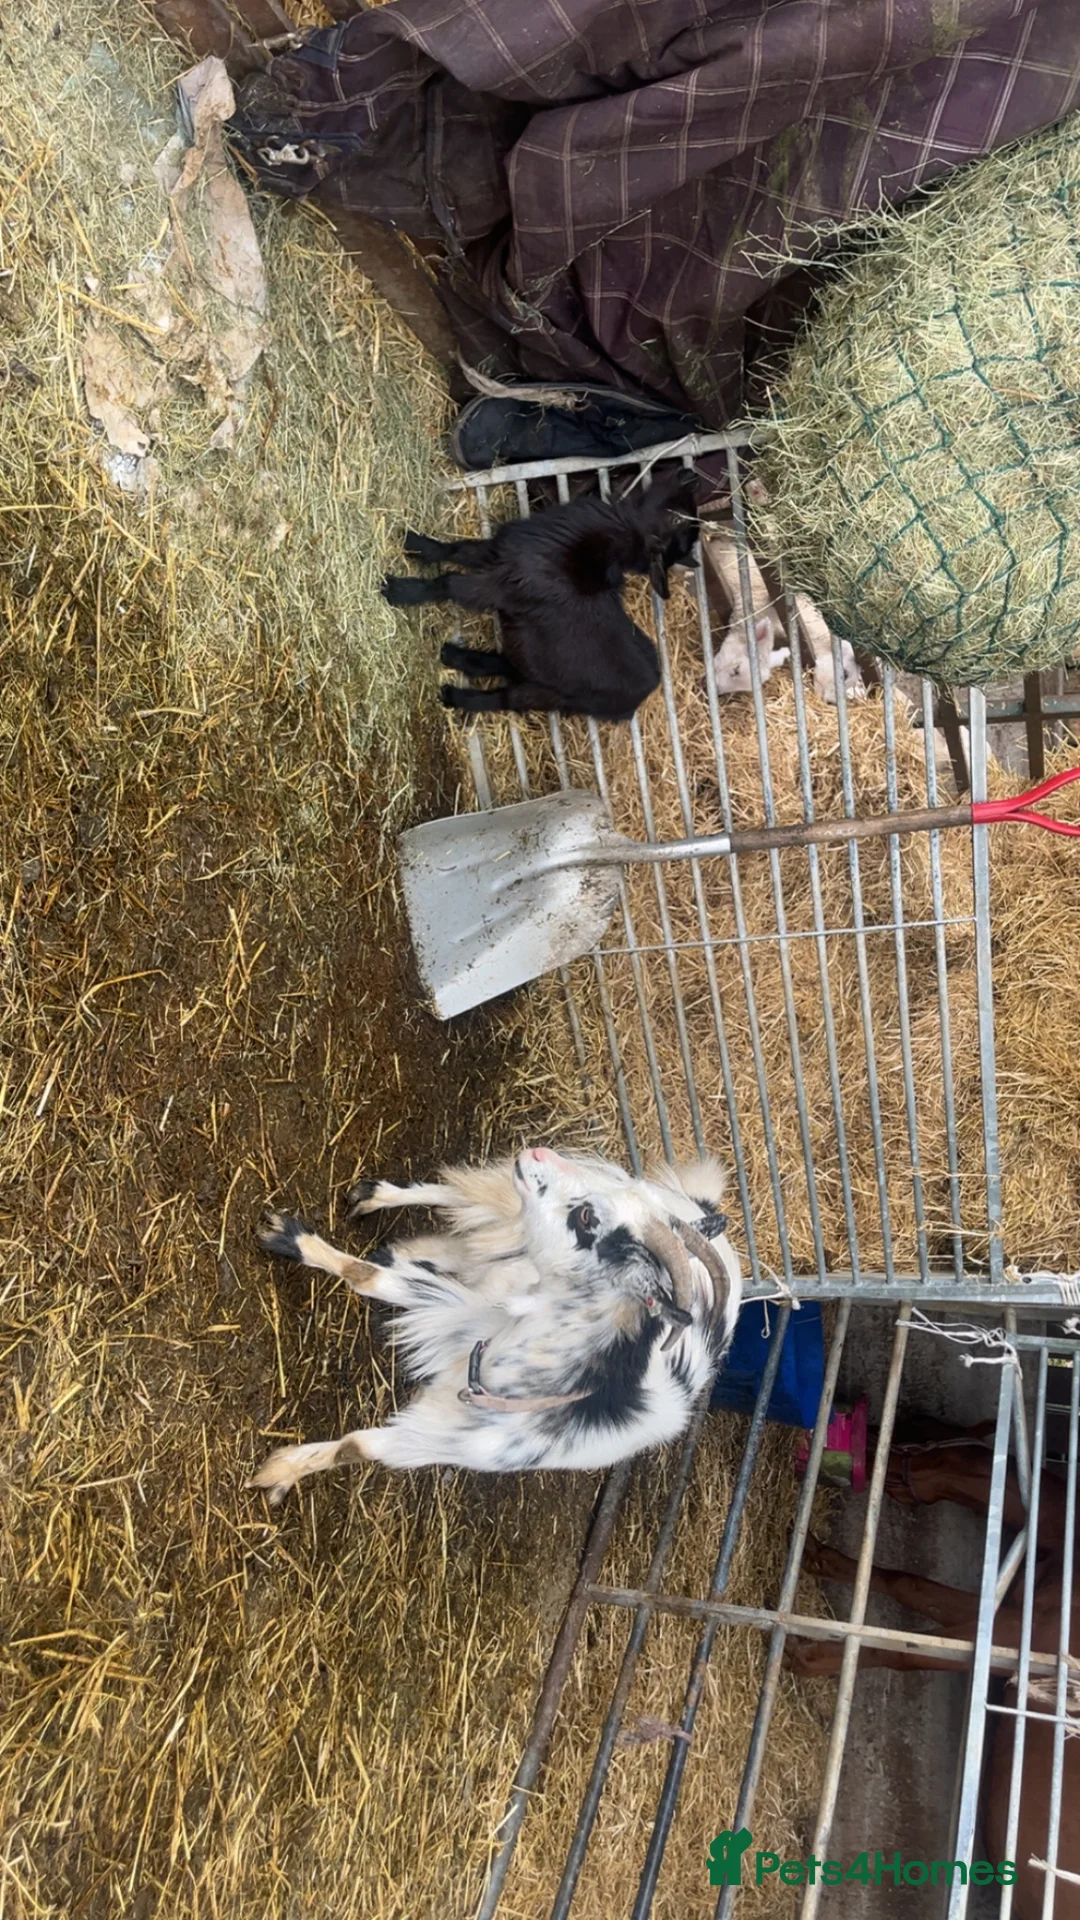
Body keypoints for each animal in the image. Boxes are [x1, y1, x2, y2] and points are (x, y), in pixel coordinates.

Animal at [249, 1146, 741, 1503]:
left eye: (586, 1219)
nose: (540, 1153)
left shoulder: (437, 1442)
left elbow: (358, 1447)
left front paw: (279, 1472)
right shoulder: (462, 1311)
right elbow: (368, 1277)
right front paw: (289, 1237)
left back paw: (407, 1248)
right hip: (514, 1210)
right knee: (463, 1197)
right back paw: (376, 1198)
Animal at [380, 467, 702, 722]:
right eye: (677, 520)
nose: (692, 475)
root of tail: (644, 693)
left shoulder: (504, 585)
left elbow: (449, 583)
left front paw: (400, 591)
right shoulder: (501, 553)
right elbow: (458, 550)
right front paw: (417, 545)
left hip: (553, 694)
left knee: (507, 697)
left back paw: (456, 694)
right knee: (511, 665)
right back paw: (456, 656)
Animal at [787, 1424, 1079, 1917]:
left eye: (938, 1454)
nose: (872, 1445)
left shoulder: (1012, 1635)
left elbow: (904, 1649)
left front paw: (810, 1657)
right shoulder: (1003, 1613)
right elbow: (909, 1584)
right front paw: (819, 1556)